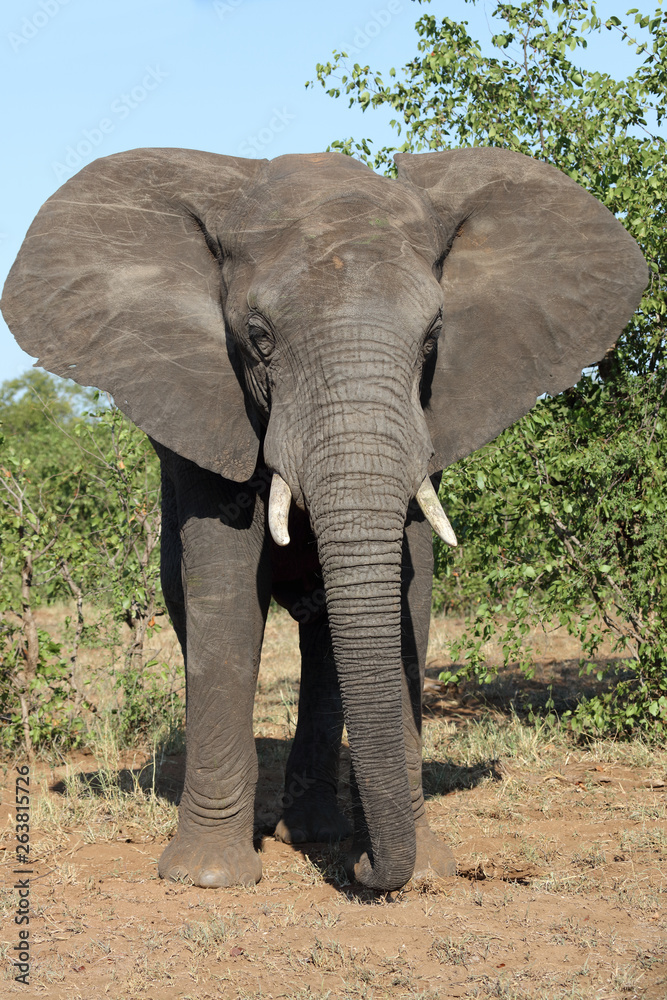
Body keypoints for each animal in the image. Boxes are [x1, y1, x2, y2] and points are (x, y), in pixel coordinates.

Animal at [1, 147, 646, 892]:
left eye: (434, 335)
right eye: (257, 337)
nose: (372, 873)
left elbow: (411, 584)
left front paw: (422, 871)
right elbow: (226, 592)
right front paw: (207, 879)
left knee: (323, 634)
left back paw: (313, 832)